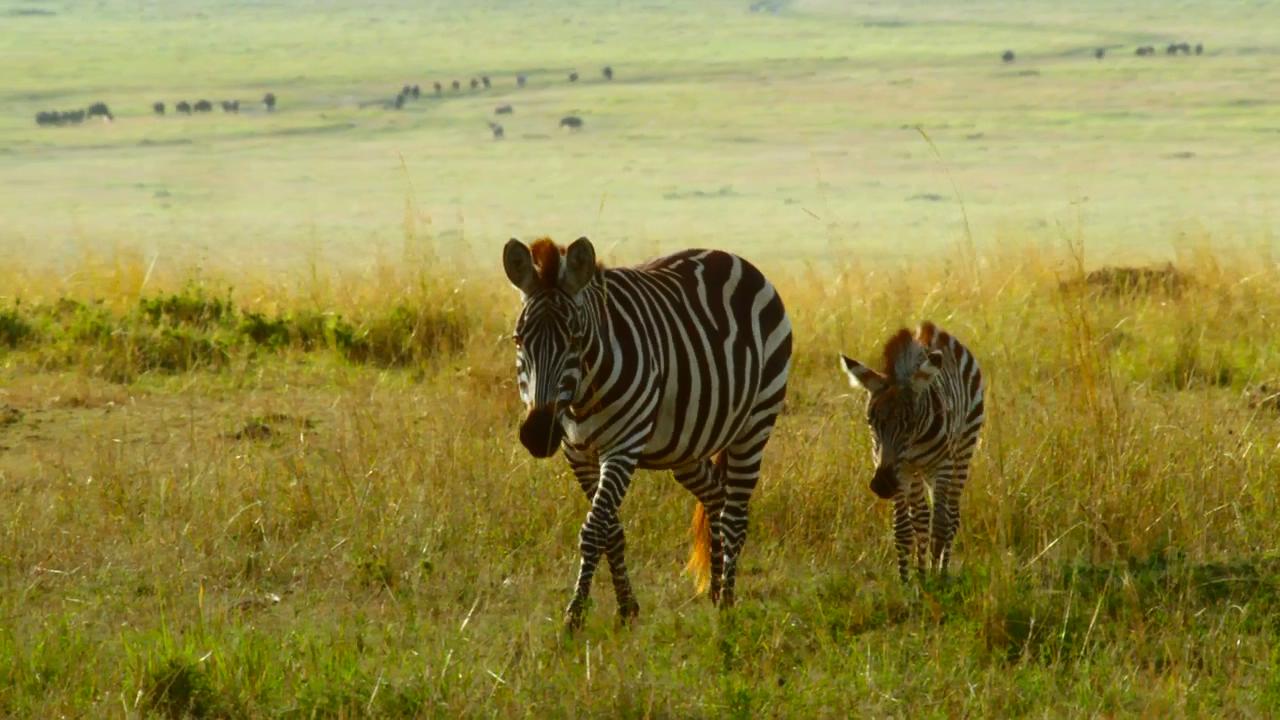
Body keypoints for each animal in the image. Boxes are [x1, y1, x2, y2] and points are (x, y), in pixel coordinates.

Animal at [499, 237, 788, 627]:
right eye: (518, 340)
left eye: (575, 340)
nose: (538, 434)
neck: (581, 398)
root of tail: (731, 258)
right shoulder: (578, 453)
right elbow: (611, 530)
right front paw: (627, 608)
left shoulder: (622, 448)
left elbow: (594, 529)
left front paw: (575, 616)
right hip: (685, 446)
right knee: (715, 495)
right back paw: (714, 591)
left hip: (756, 423)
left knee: (735, 517)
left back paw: (727, 605)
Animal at [839, 322, 988, 579]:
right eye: (870, 422)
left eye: (910, 423)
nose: (882, 485)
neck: (914, 441)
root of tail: (936, 331)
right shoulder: (896, 468)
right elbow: (903, 529)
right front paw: (908, 581)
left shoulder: (941, 465)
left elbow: (940, 525)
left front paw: (937, 580)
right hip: (914, 471)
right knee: (921, 517)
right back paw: (921, 572)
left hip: (963, 448)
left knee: (951, 514)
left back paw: (940, 571)